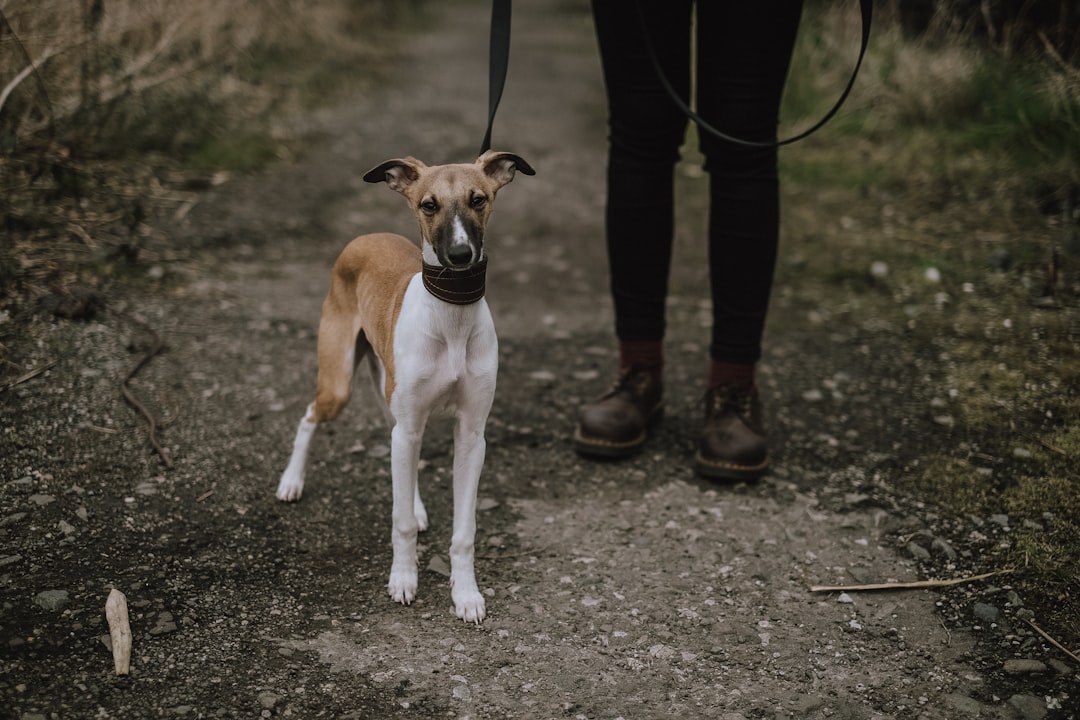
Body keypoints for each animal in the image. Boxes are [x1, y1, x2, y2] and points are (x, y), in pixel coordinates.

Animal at [276, 148, 533, 621]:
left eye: (479, 199)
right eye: (428, 205)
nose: (460, 255)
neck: (451, 316)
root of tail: (365, 236)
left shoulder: (472, 436)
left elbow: (464, 529)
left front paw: (466, 594)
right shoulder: (410, 422)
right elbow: (400, 522)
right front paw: (403, 579)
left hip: (393, 400)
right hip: (339, 384)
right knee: (310, 416)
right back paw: (291, 481)